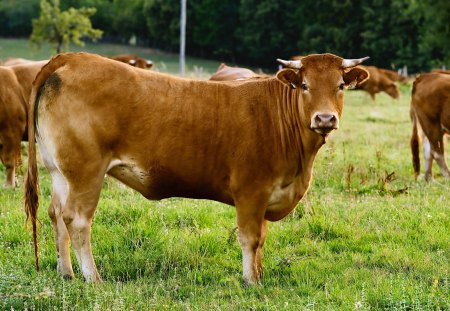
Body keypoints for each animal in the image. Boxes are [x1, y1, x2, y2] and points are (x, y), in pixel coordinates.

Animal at [25, 51, 370, 286]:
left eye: (341, 85)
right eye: (305, 86)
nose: (325, 118)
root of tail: (73, 59)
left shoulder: (266, 195)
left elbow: (262, 238)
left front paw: (258, 274)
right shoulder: (251, 191)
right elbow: (250, 238)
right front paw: (251, 281)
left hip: (60, 173)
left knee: (56, 214)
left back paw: (66, 272)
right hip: (87, 172)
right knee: (77, 220)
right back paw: (93, 277)